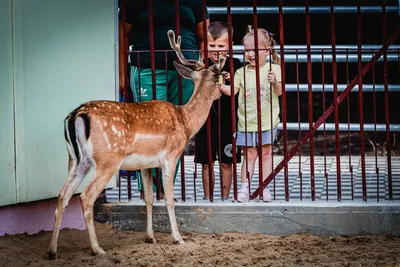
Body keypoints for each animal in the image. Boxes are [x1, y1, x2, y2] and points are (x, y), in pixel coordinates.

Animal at [47, 30, 227, 260]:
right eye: (219, 77)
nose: (221, 93)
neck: (186, 122)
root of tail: (77, 115)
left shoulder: (145, 165)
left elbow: (149, 198)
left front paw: (150, 237)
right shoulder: (171, 156)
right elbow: (169, 198)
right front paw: (178, 238)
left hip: (75, 160)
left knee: (63, 195)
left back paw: (52, 251)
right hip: (107, 161)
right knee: (86, 197)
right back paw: (97, 249)